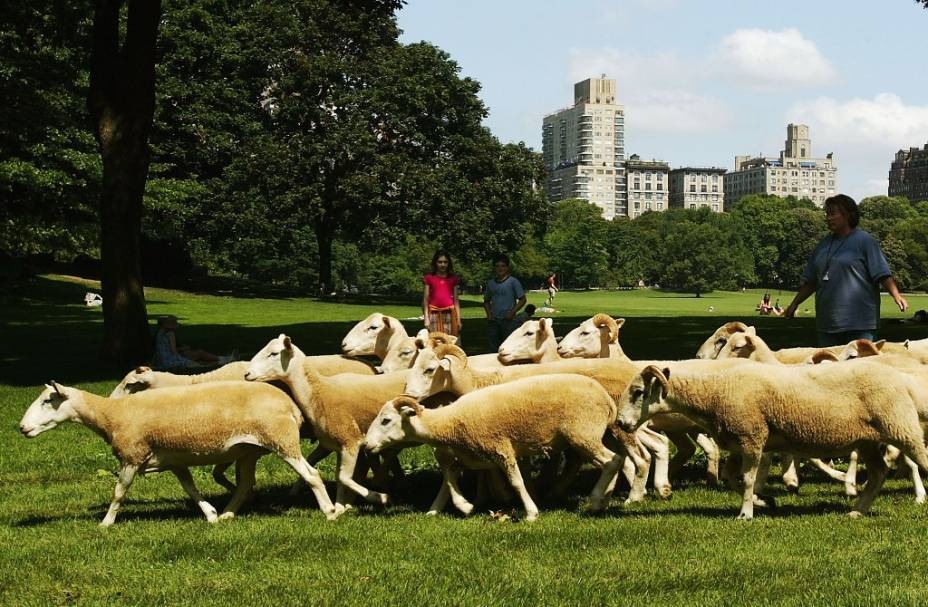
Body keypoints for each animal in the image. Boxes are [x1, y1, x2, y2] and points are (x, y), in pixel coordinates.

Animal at [18, 380, 336, 528]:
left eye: (48, 400)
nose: (21, 428)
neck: (110, 416)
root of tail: (290, 405)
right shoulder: (174, 461)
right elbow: (190, 489)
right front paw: (209, 514)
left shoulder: (133, 454)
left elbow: (119, 492)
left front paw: (106, 523)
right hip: (249, 450)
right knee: (246, 484)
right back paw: (227, 514)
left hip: (281, 440)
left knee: (311, 474)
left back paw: (330, 512)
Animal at [366, 376, 628, 524]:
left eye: (386, 420)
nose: (367, 445)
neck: (451, 421)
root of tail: (606, 398)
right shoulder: (469, 455)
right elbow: (448, 481)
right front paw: (449, 508)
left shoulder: (500, 447)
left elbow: (517, 482)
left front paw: (531, 513)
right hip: (587, 435)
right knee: (616, 460)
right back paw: (603, 501)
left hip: (583, 433)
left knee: (611, 460)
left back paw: (595, 500)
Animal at [616, 360, 928, 524]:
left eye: (638, 392)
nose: (620, 423)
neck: (716, 391)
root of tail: (901, 378)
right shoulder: (740, 439)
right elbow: (731, 477)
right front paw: (764, 502)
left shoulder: (752, 435)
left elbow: (747, 478)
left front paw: (746, 514)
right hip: (868, 439)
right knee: (878, 473)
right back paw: (857, 510)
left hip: (901, 427)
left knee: (921, 459)